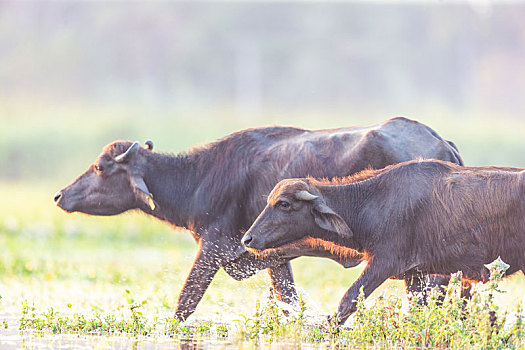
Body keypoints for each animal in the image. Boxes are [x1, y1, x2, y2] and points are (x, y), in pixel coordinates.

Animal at [53, 117, 462, 320]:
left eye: (100, 166)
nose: (59, 195)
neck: (202, 178)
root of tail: (441, 142)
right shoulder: (273, 259)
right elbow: (289, 305)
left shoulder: (214, 248)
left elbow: (185, 305)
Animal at [243, 160, 524, 324]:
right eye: (269, 201)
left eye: (284, 204)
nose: (248, 238)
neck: (374, 201)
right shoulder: (416, 274)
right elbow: (416, 311)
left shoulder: (384, 263)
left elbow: (348, 300)